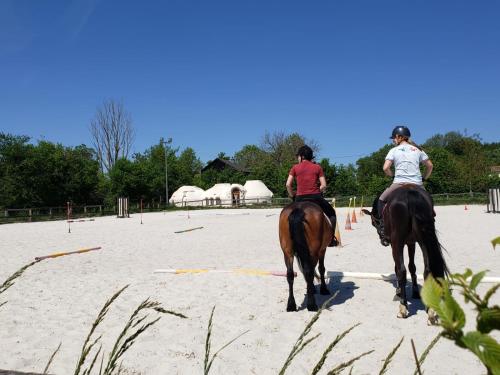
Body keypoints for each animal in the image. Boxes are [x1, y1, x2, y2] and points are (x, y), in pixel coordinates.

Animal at [362, 185, 448, 320]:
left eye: (373, 223)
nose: (383, 240)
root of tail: (409, 193)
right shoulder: (411, 242)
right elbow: (412, 267)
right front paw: (415, 291)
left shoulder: (395, 244)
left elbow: (398, 268)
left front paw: (399, 291)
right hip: (423, 240)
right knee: (427, 269)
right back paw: (430, 310)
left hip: (398, 240)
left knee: (402, 270)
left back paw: (403, 307)